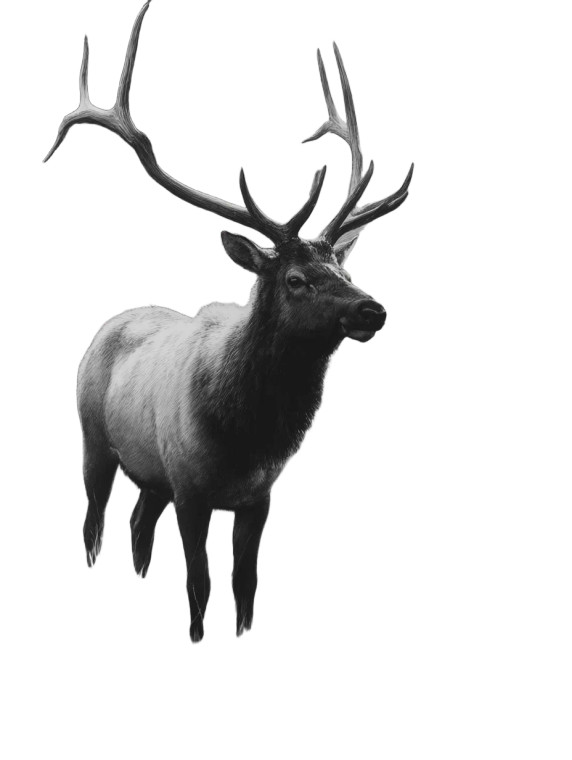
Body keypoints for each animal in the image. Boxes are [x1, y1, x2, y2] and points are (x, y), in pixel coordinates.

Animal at [44, 1, 413, 642]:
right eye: (296, 279)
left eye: (342, 266)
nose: (373, 309)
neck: (246, 437)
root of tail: (108, 323)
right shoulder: (190, 489)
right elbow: (201, 583)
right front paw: (196, 637)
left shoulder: (258, 496)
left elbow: (247, 584)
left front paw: (241, 633)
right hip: (95, 441)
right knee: (94, 520)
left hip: (151, 474)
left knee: (138, 523)